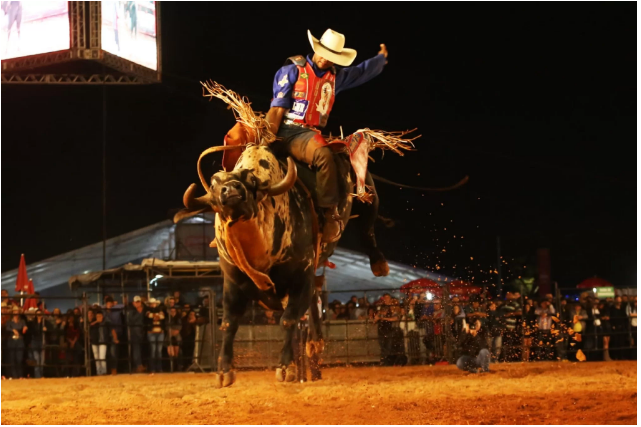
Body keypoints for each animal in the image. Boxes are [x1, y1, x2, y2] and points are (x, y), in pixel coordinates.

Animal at [174, 82, 464, 386]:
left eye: (251, 182)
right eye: (215, 182)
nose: (229, 190)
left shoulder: (300, 275)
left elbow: (289, 320)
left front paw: (286, 367)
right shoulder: (232, 280)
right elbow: (229, 322)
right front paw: (224, 371)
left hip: (367, 190)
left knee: (368, 226)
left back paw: (377, 265)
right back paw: (313, 356)